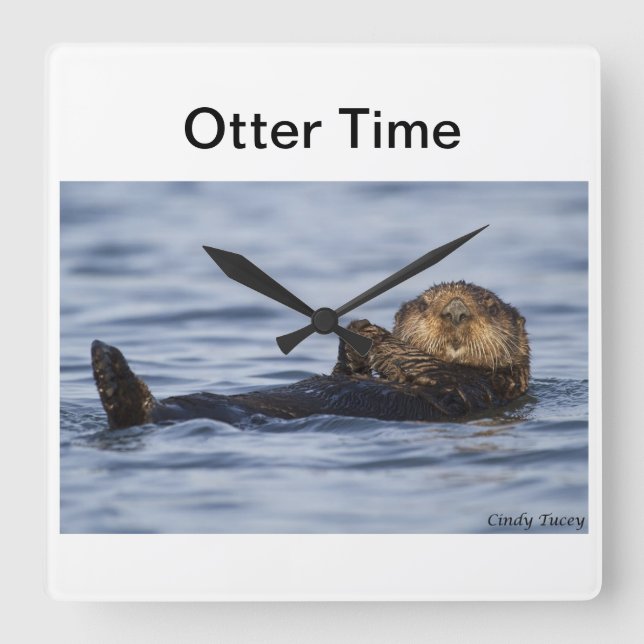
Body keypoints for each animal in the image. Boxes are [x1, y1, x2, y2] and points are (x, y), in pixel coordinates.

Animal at [91, 282, 530, 429]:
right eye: (425, 303)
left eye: (490, 305)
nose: (455, 310)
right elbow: (346, 371)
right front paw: (355, 334)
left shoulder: (466, 388)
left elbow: (424, 365)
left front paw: (370, 331)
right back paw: (104, 364)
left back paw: (109, 371)